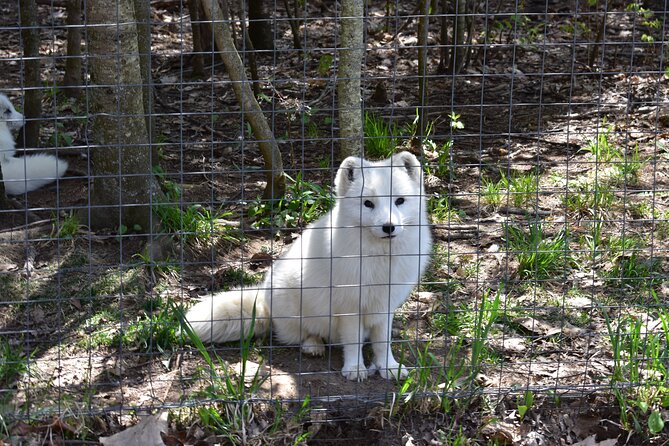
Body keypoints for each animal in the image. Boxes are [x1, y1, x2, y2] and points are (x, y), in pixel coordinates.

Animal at [184, 152, 434, 382]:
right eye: (368, 204)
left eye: (399, 201)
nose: (388, 227)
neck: (381, 257)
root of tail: (263, 303)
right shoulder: (350, 305)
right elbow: (352, 341)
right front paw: (355, 369)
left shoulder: (385, 304)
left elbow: (382, 341)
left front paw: (388, 366)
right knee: (300, 335)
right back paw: (313, 345)